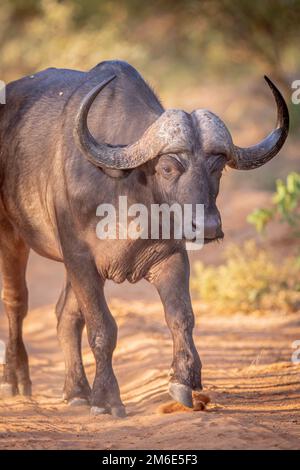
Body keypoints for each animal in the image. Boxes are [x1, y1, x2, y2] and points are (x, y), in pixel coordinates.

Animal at [0, 59, 290, 414]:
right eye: (167, 168)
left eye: (218, 168)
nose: (208, 226)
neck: (126, 190)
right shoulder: (79, 257)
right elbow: (103, 328)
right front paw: (107, 399)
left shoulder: (170, 257)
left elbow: (181, 317)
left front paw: (184, 381)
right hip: (11, 233)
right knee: (16, 302)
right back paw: (16, 381)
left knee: (64, 316)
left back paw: (76, 392)